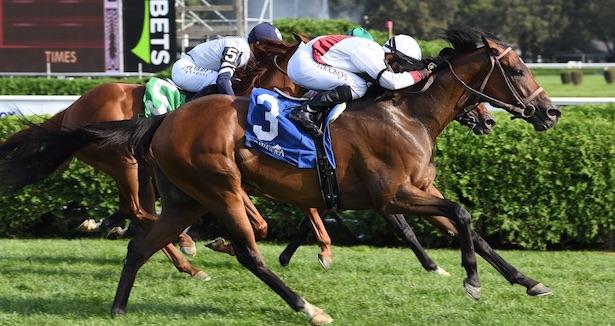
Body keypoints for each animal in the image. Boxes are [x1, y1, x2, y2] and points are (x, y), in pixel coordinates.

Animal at [44, 30, 560, 324]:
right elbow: (460, 213)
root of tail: (166, 118)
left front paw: (527, 280)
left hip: (186, 198)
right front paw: (470, 280)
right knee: (247, 252)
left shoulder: (416, 188)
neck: (408, 114)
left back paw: (122, 304)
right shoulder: (394, 195)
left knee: (141, 242)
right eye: (517, 70)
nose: (550, 112)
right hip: (216, 186)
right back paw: (306, 307)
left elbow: (465, 225)